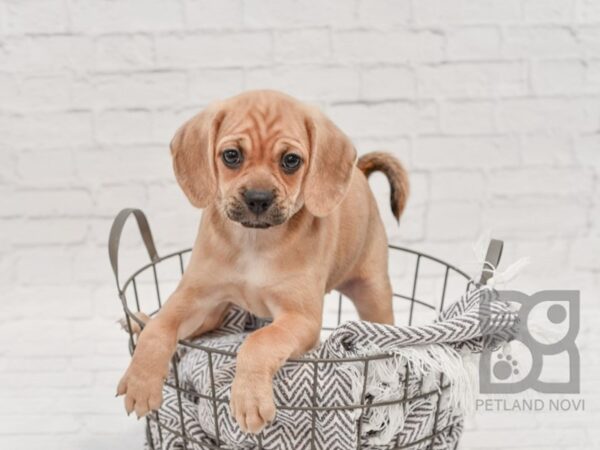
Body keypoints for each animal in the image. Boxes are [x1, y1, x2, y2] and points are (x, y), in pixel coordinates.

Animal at [117, 90, 408, 432]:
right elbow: (160, 326)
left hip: (372, 292)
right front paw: (141, 381)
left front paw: (248, 398)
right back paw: (136, 321)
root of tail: (359, 173)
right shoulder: (195, 298)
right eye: (231, 156)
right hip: (215, 312)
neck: (254, 242)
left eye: (291, 160)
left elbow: (260, 341)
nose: (258, 198)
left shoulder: (300, 319)